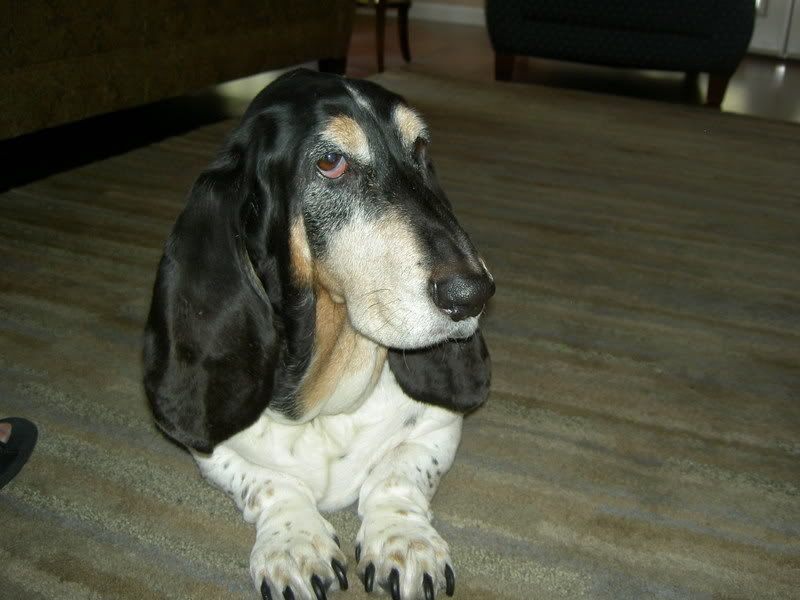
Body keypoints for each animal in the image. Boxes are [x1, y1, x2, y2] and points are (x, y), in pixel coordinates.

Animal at [143, 68, 494, 600]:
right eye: (330, 162)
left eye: (420, 148)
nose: (473, 293)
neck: (330, 404)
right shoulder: (215, 449)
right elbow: (272, 483)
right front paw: (294, 544)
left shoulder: (437, 427)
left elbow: (396, 475)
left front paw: (403, 539)